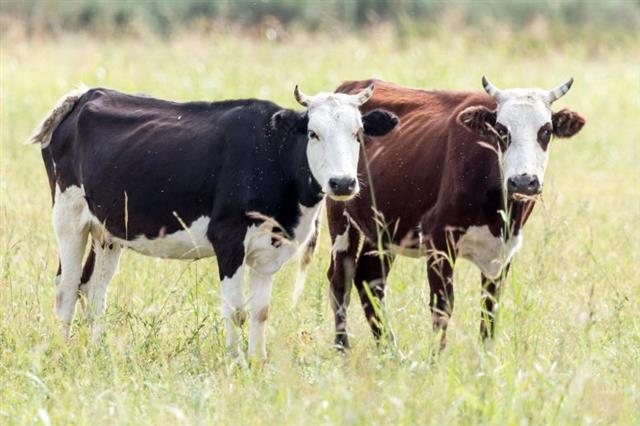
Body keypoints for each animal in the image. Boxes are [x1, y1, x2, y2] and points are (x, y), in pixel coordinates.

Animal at [31, 84, 400, 360]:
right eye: (313, 133)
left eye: (357, 133)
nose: (342, 183)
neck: (272, 157)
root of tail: (86, 94)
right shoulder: (228, 239)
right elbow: (235, 310)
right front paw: (235, 362)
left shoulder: (269, 251)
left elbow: (260, 311)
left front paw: (257, 361)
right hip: (68, 216)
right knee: (66, 286)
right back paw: (62, 350)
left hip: (108, 231)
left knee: (94, 288)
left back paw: (99, 350)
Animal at [328, 76, 584, 350]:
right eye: (501, 130)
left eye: (545, 131)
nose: (524, 181)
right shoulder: (438, 241)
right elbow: (442, 307)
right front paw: (435, 358)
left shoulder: (504, 249)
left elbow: (489, 310)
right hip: (341, 217)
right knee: (340, 280)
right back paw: (343, 349)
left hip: (383, 229)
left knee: (370, 278)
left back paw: (390, 351)